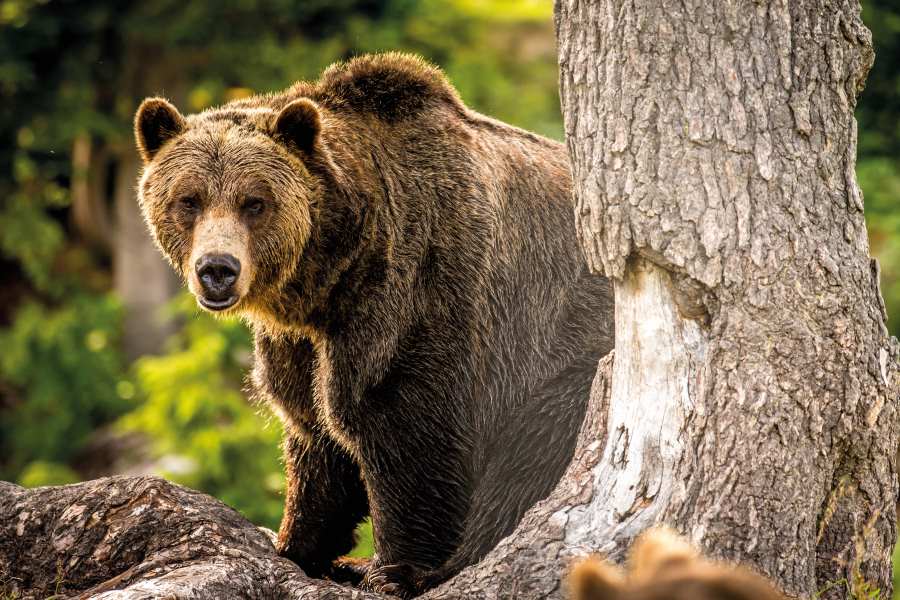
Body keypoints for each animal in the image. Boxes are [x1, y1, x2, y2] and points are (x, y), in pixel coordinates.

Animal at [134, 52, 614, 597]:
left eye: (254, 202)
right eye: (188, 200)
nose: (217, 268)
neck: (330, 275)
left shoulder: (417, 293)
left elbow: (401, 422)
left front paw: (395, 570)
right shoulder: (299, 341)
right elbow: (312, 432)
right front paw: (299, 544)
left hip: (576, 352)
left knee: (533, 450)